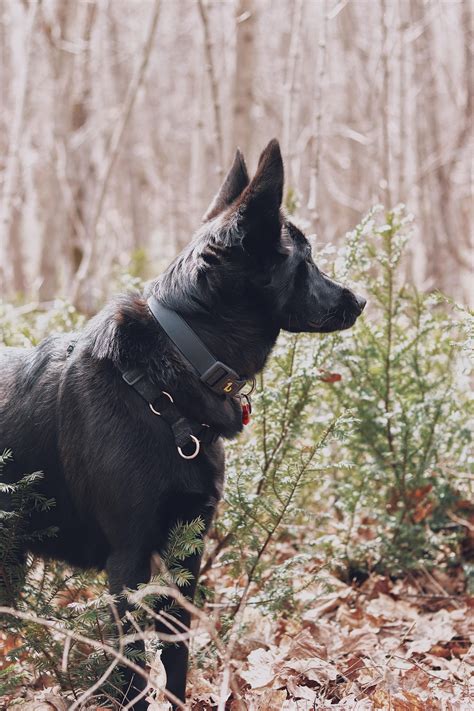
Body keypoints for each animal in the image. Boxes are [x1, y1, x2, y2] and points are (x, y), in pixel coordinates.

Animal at [0, 139, 366, 708]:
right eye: (306, 260)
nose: (362, 300)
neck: (167, 381)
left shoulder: (185, 553)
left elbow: (176, 654)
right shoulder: (128, 561)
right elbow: (130, 667)